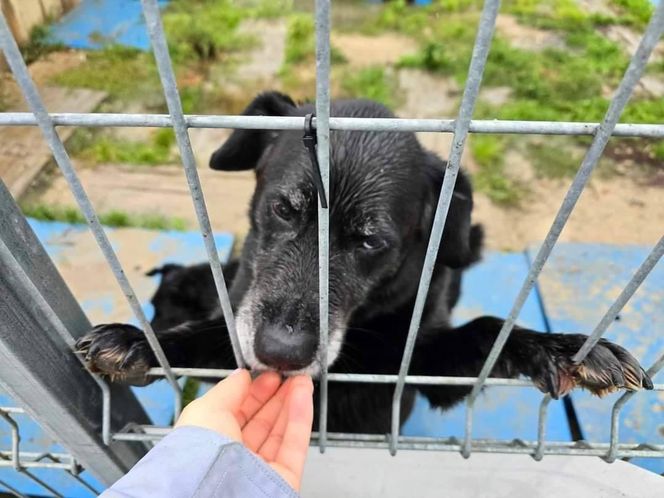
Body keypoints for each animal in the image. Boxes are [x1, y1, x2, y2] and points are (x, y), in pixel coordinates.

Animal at [76, 91, 648, 434]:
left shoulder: (420, 371)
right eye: (284, 209)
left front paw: (562, 348)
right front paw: (143, 341)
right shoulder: (238, 329)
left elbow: (488, 331)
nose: (282, 353)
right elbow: (206, 339)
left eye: (372, 243)